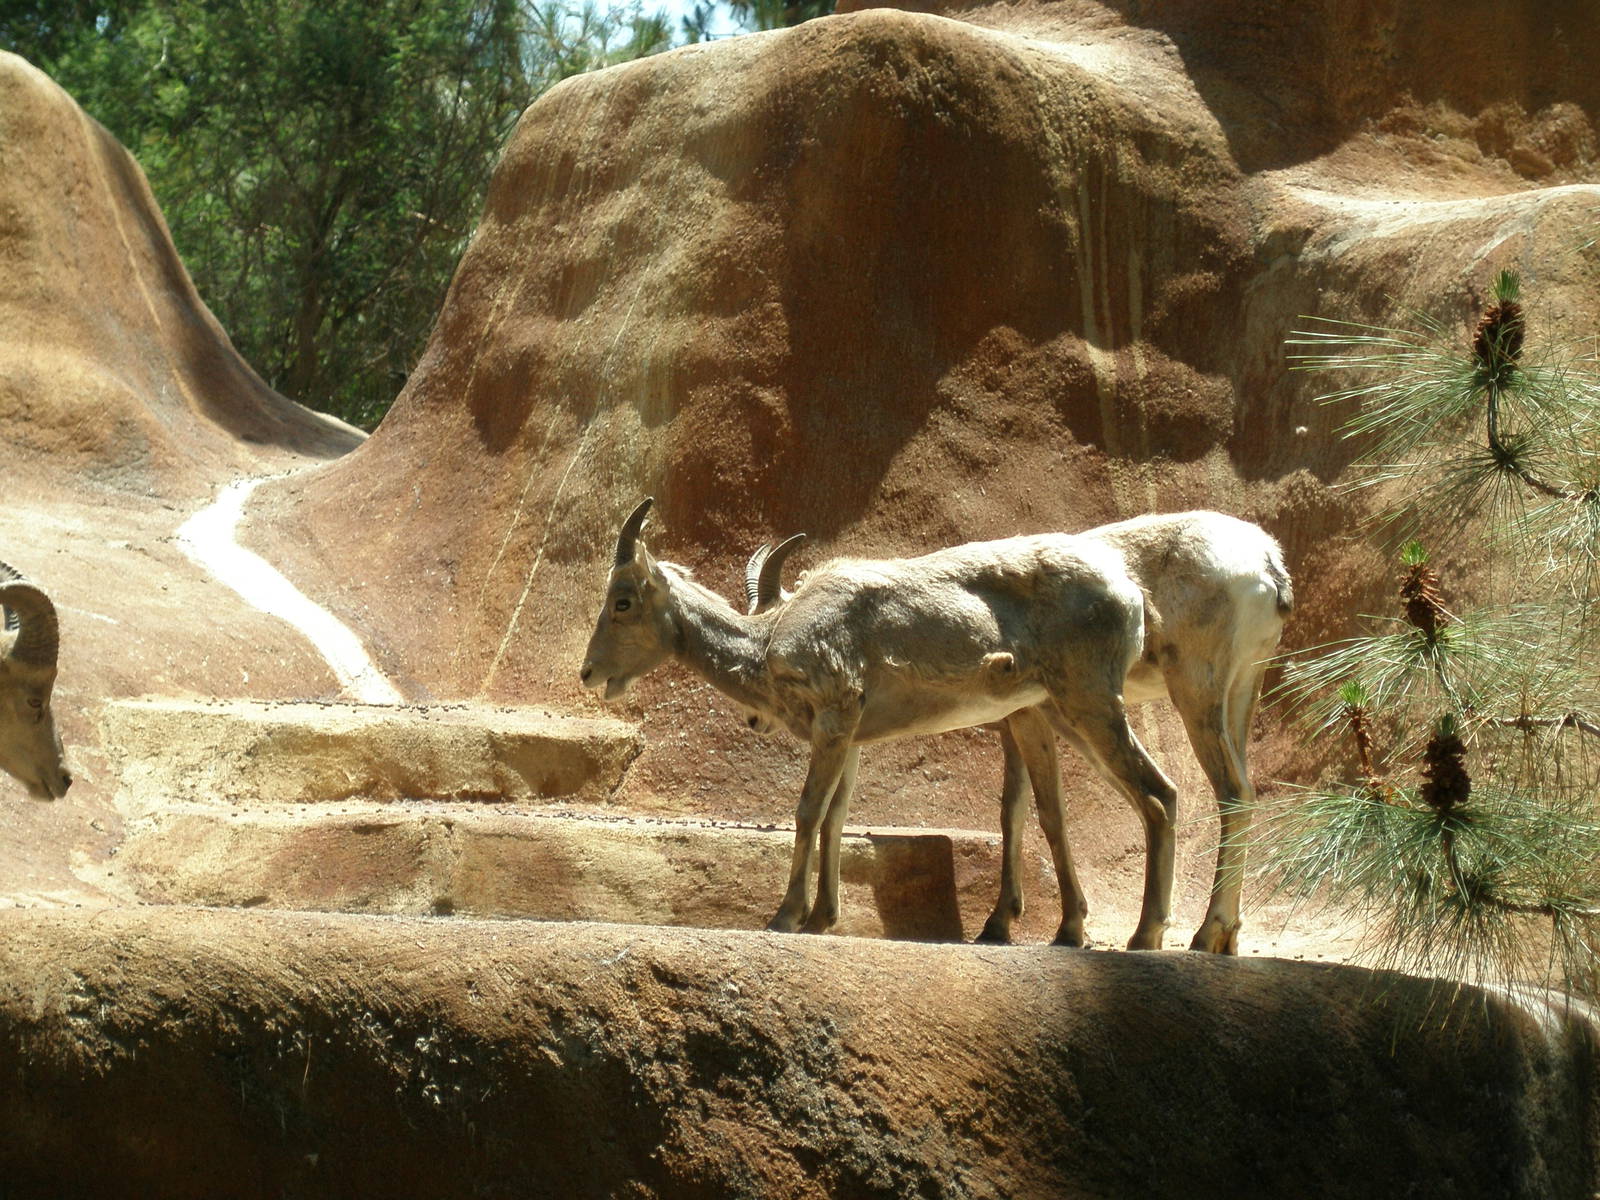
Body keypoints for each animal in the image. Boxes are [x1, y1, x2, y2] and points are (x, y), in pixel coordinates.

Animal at [581, 500, 1290, 952]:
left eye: (622, 601)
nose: (589, 674)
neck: (773, 641)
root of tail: (1268, 564)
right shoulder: (856, 738)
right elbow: (841, 816)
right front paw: (824, 918)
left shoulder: (837, 716)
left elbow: (808, 812)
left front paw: (784, 918)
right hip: (1207, 697)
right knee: (1218, 792)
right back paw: (1211, 938)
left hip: (1120, 700)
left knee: (1170, 794)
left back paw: (1157, 937)